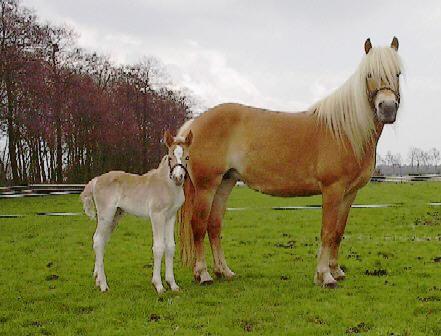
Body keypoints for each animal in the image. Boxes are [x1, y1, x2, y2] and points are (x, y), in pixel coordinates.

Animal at [81, 130, 192, 292]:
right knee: (98, 240)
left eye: (187, 157)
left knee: (102, 241)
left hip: (115, 216)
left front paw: (172, 284)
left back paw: (97, 279)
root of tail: (95, 180)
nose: (178, 177)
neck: (166, 185)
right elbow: (159, 247)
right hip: (106, 215)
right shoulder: (157, 215)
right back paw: (103, 285)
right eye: (170, 157)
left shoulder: (170, 217)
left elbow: (170, 247)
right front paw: (158, 285)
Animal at [177, 38, 400, 288]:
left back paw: (224, 271)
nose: (387, 108)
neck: (345, 131)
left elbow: (338, 232)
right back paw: (203, 274)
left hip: (225, 182)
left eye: (398, 73)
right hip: (206, 186)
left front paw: (337, 270)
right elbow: (327, 231)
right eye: (369, 74)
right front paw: (325, 276)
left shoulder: (350, 193)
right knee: (198, 226)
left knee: (214, 226)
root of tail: (194, 124)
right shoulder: (332, 189)